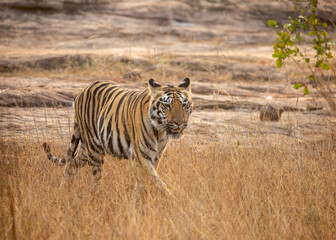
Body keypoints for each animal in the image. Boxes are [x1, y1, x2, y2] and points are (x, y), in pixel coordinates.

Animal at [43, 78, 193, 194]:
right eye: (167, 105)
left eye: (184, 105)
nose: (179, 122)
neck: (160, 131)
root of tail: (82, 92)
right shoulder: (141, 156)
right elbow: (156, 181)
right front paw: (172, 198)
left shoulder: (156, 156)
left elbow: (146, 181)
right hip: (94, 148)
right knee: (96, 178)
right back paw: (98, 198)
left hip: (85, 149)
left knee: (71, 164)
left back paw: (62, 190)